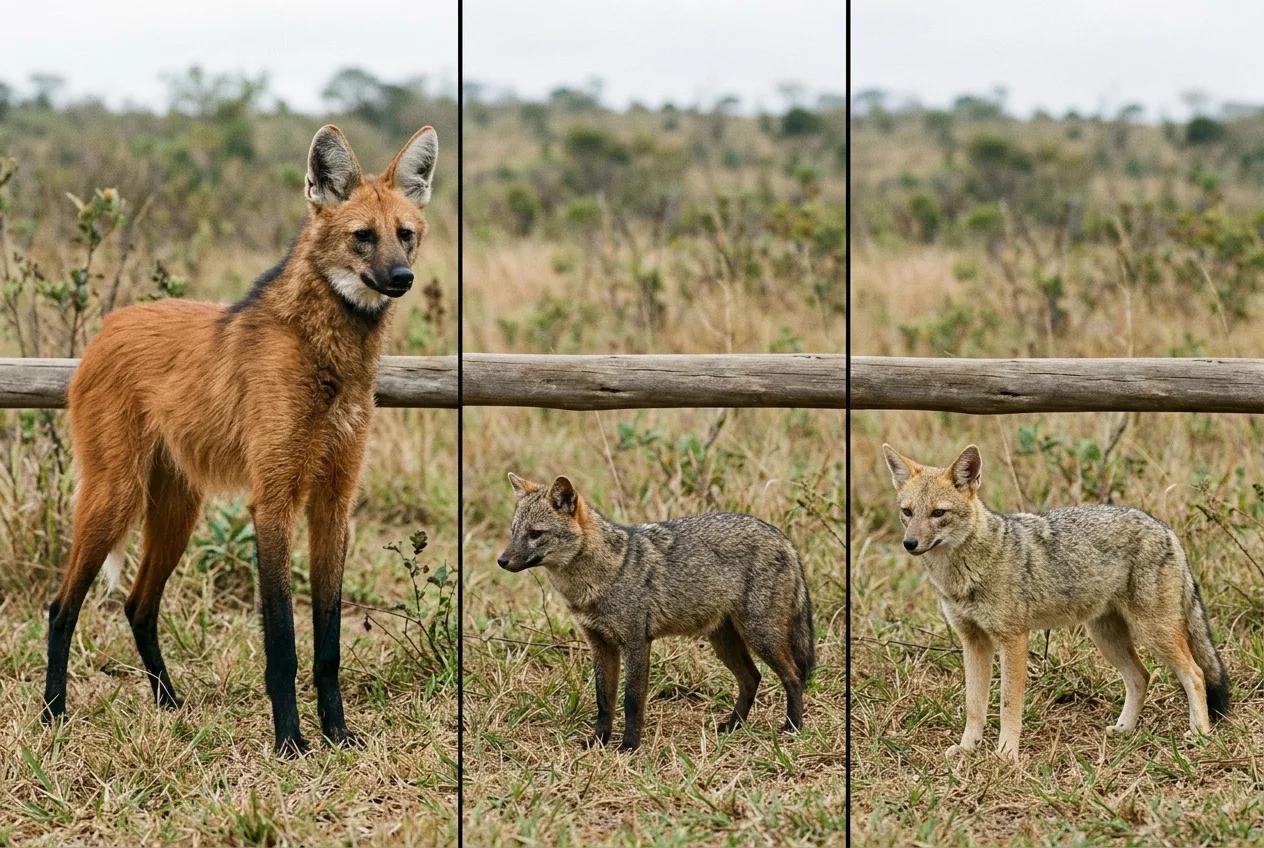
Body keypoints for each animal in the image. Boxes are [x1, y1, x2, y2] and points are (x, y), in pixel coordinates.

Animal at [43, 124, 438, 756]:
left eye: (405, 235)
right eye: (362, 237)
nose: (402, 278)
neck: (329, 354)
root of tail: (107, 325)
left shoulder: (333, 503)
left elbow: (328, 641)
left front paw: (337, 734)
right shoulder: (273, 500)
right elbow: (282, 640)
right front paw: (290, 743)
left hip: (178, 511)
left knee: (138, 604)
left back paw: (169, 704)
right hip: (116, 496)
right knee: (62, 606)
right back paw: (54, 714)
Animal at [497, 473, 816, 751]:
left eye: (535, 534)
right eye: (514, 532)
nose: (502, 561)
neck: (598, 578)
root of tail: (782, 537)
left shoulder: (636, 643)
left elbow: (631, 701)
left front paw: (629, 746)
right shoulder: (600, 645)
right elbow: (604, 701)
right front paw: (598, 742)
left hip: (760, 637)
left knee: (793, 676)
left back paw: (792, 728)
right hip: (724, 642)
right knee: (752, 678)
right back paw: (732, 726)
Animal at [882, 443, 1229, 761]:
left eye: (938, 513)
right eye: (907, 512)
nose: (910, 543)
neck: (963, 572)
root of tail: (1165, 528)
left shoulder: (1013, 639)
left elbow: (1008, 705)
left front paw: (1006, 755)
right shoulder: (974, 641)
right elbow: (974, 705)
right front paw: (968, 748)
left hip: (1153, 634)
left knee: (1195, 673)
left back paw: (1200, 733)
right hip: (1107, 638)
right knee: (1141, 677)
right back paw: (1124, 729)